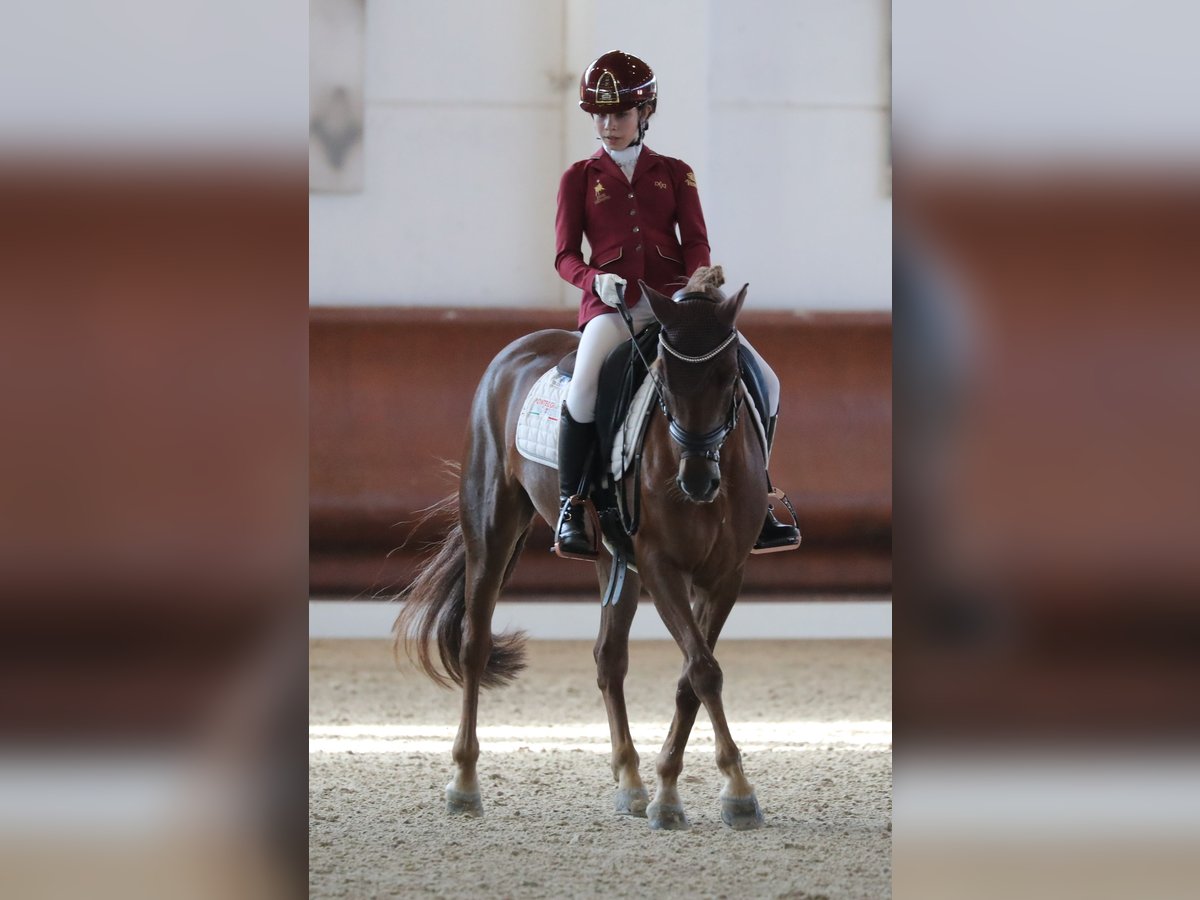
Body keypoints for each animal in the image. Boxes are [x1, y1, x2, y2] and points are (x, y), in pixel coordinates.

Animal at [396, 270, 768, 830]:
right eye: (662, 379)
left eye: (730, 376)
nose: (697, 480)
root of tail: (515, 351)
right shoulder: (660, 565)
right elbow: (703, 670)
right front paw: (733, 791)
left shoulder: (725, 575)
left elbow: (691, 675)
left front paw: (673, 790)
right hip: (492, 525)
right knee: (474, 645)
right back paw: (464, 783)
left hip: (615, 559)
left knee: (608, 658)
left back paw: (631, 782)